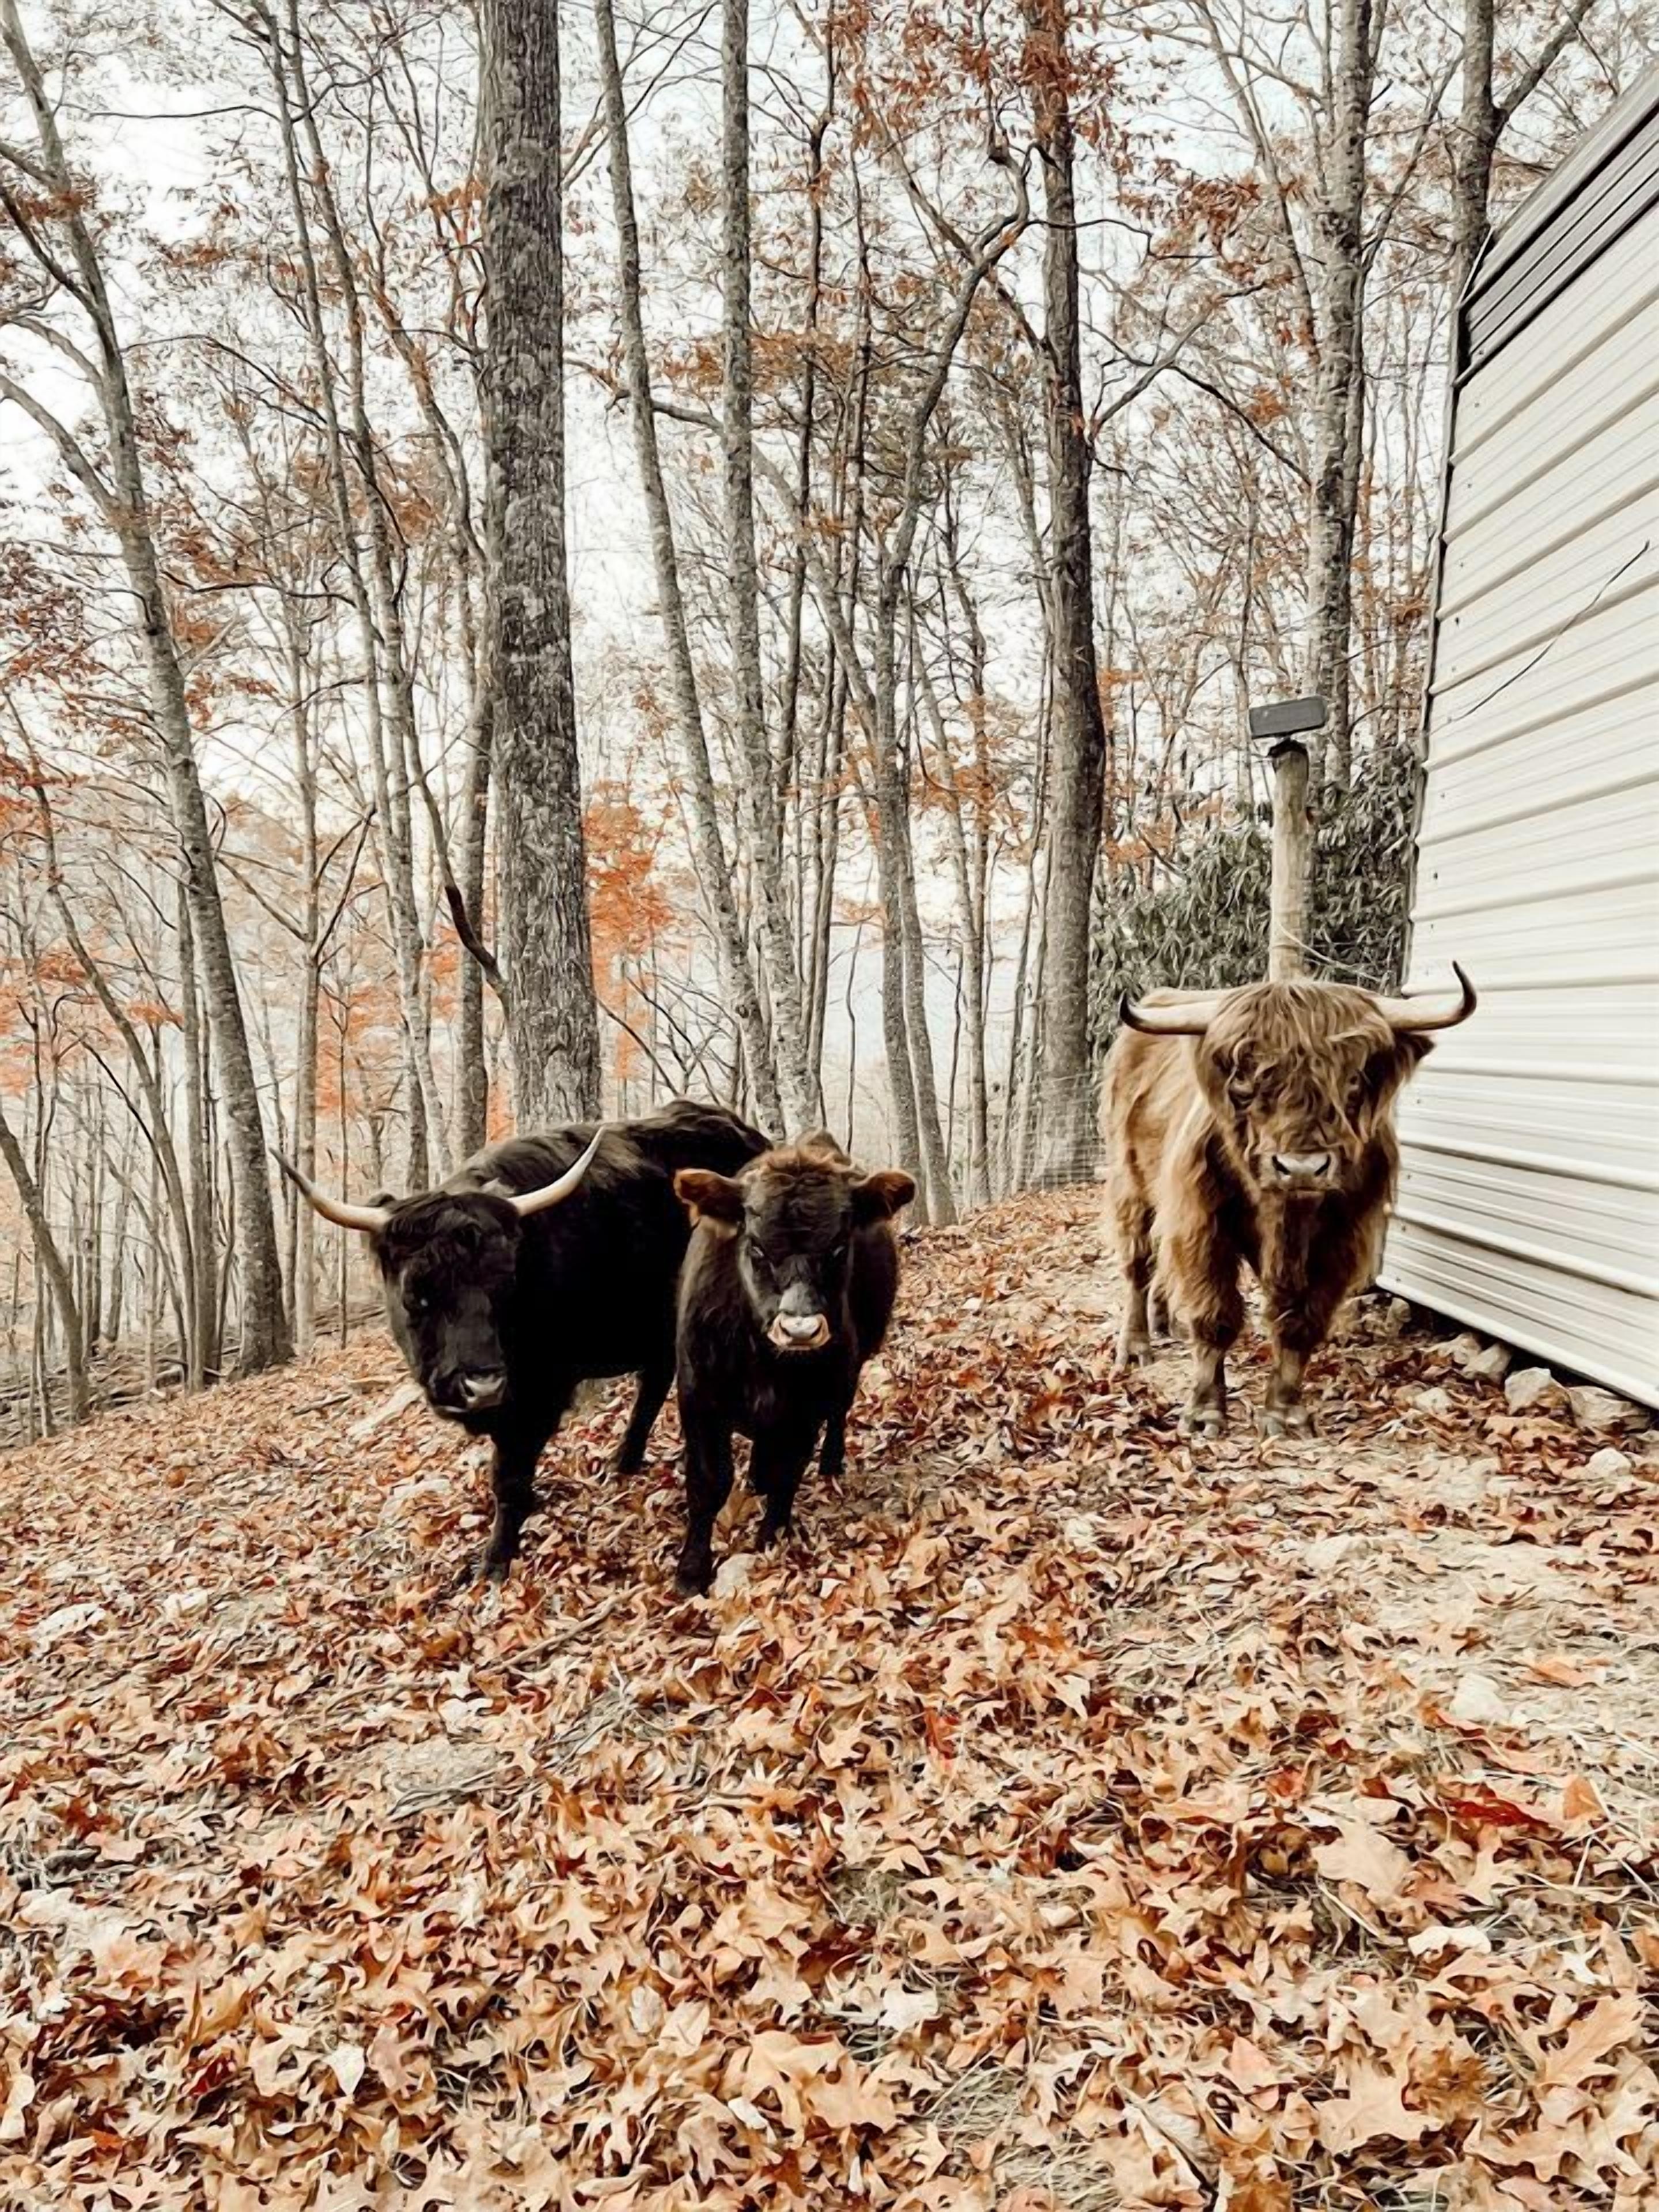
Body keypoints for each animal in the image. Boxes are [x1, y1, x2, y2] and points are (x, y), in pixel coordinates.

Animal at [279, 1099, 770, 1580]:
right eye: (416, 1293)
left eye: (505, 1284)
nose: (481, 1386)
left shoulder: (538, 1394)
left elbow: (510, 1478)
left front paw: (496, 1559)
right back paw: (624, 1461)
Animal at [669, 1137, 915, 1595]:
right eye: (756, 1246)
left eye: (839, 1246)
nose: (800, 1329)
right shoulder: (698, 1395)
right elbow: (708, 1482)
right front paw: (691, 1570)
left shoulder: (809, 1405)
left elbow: (789, 1469)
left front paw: (771, 1537)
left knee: (837, 1417)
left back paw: (830, 1462)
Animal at [1102, 967, 1475, 1437]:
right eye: (1245, 1080)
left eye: (1353, 1079)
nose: (1301, 1168)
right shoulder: (1200, 1225)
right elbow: (1215, 1315)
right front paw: (1204, 1413)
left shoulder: (1342, 1240)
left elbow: (1301, 1322)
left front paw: (1285, 1413)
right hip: (1130, 1182)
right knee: (1139, 1264)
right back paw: (1135, 1347)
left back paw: (1166, 1323)